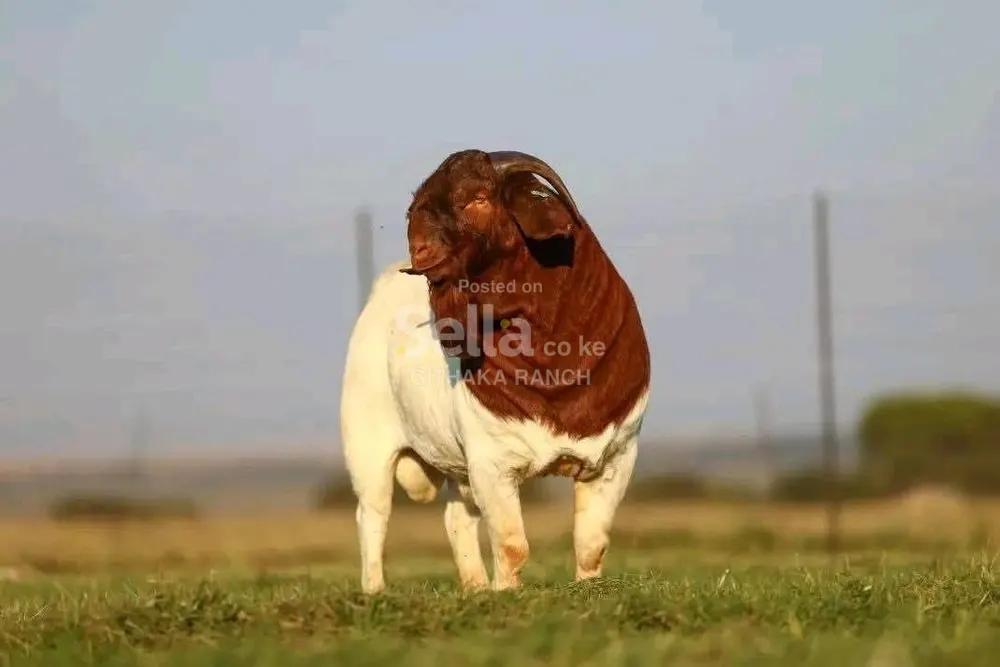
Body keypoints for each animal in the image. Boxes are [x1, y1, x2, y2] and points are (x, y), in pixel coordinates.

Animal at [341, 149, 651, 593]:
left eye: (478, 200)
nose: (421, 251)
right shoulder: (491, 462)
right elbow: (511, 544)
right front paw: (508, 594)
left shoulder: (617, 456)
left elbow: (592, 544)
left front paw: (586, 591)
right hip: (367, 445)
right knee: (373, 515)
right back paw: (375, 591)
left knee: (455, 518)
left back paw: (474, 588)